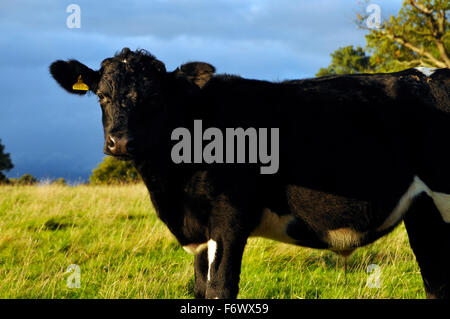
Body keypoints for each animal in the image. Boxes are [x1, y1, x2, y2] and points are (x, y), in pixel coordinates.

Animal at [50, 48, 450, 300]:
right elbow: (199, 290)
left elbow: (220, 290)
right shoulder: (200, 231)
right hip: (423, 212)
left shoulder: (229, 219)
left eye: (154, 98)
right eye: (101, 95)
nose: (120, 142)